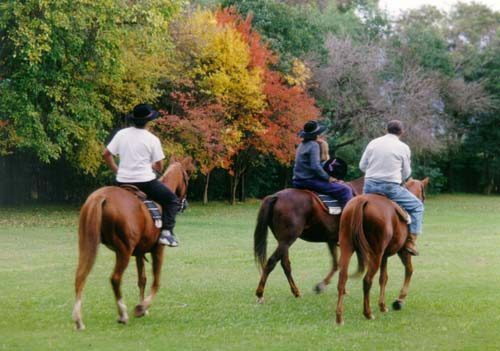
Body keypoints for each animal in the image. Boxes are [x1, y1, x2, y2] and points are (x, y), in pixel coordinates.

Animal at [72, 158, 193, 332]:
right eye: (187, 176)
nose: (185, 203)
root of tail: (101, 197)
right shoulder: (158, 249)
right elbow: (156, 281)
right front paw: (142, 307)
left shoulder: (139, 253)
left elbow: (142, 279)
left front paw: (143, 308)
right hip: (124, 250)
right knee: (115, 278)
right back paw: (122, 314)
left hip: (87, 243)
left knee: (80, 276)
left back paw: (78, 320)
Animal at [334, 177, 428, 326]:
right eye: (423, 196)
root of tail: (362, 202)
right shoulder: (403, 252)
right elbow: (409, 270)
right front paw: (399, 301)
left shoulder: (385, 256)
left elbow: (383, 278)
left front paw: (383, 306)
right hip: (375, 254)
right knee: (367, 280)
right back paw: (368, 313)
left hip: (347, 248)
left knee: (342, 279)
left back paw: (339, 317)